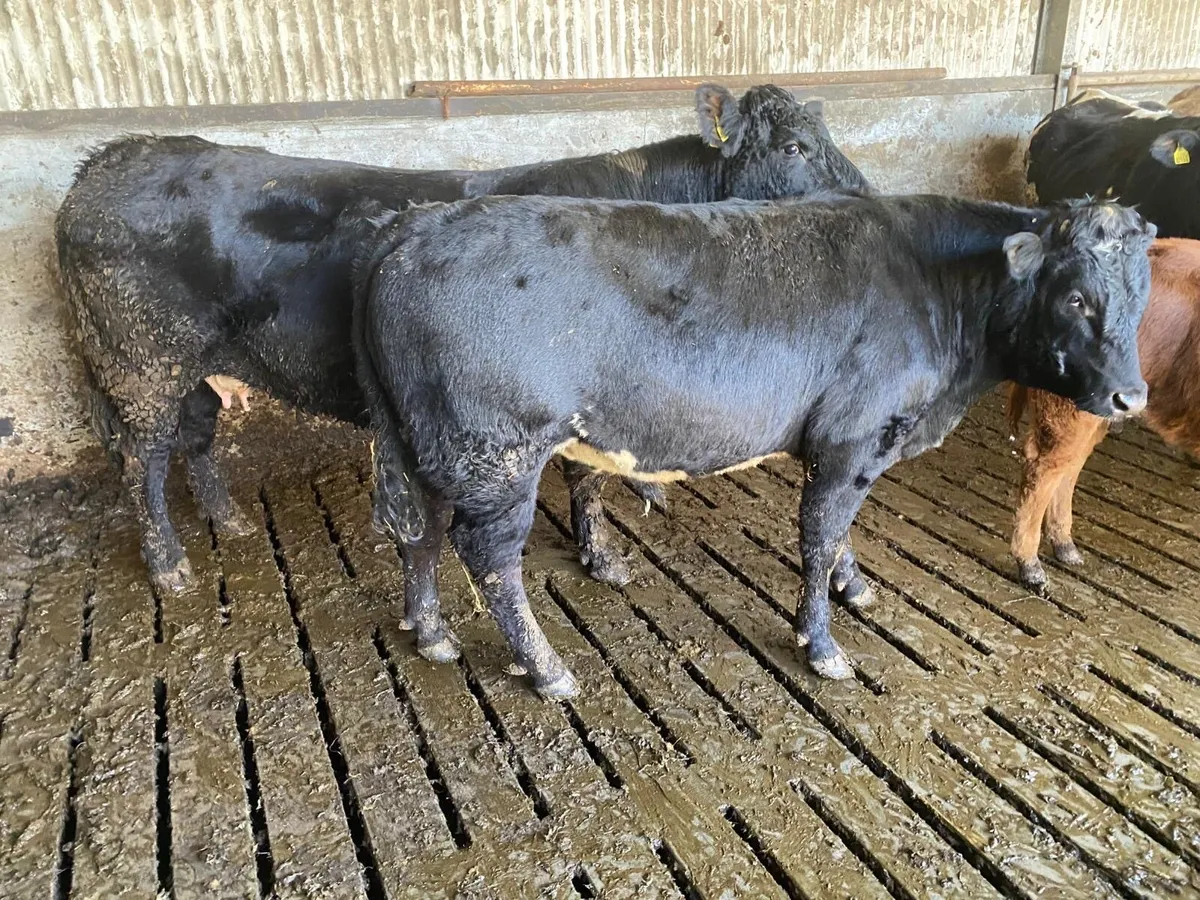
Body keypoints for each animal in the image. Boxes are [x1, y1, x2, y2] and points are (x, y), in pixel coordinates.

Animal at [54, 83, 870, 595]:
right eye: (794, 146)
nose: (864, 198)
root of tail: (111, 157)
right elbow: (590, 481)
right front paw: (604, 558)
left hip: (194, 362)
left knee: (195, 436)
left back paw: (228, 520)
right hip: (138, 360)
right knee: (142, 458)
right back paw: (168, 564)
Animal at [352, 192, 1154, 697]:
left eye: (1140, 297)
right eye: (1076, 297)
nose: (1132, 398)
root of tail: (413, 226)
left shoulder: (854, 449)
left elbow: (839, 535)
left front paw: (853, 587)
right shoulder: (852, 439)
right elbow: (820, 533)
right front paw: (821, 644)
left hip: (429, 445)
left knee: (420, 534)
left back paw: (430, 631)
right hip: (495, 454)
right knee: (488, 559)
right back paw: (546, 668)